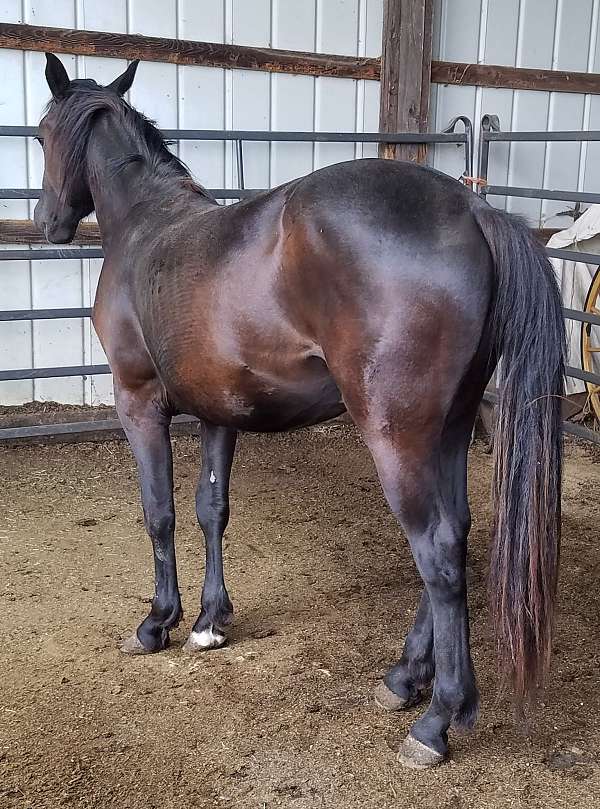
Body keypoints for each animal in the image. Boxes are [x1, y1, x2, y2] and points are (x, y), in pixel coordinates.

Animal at [35, 53, 564, 768]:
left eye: (40, 133)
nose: (49, 221)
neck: (148, 226)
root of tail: (472, 208)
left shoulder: (138, 402)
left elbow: (159, 513)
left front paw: (157, 623)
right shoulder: (217, 413)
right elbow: (211, 509)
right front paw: (210, 622)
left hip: (396, 436)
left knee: (437, 549)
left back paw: (435, 721)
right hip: (449, 429)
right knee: (456, 531)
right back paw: (404, 679)